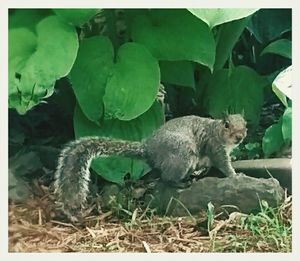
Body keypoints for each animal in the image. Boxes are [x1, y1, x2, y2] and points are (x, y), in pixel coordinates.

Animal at [53, 112, 246, 220]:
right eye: (227, 124)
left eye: (245, 124)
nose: (240, 137)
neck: (217, 131)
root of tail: (148, 149)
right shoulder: (215, 148)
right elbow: (224, 164)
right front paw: (236, 175)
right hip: (183, 155)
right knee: (166, 178)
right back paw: (181, 183)